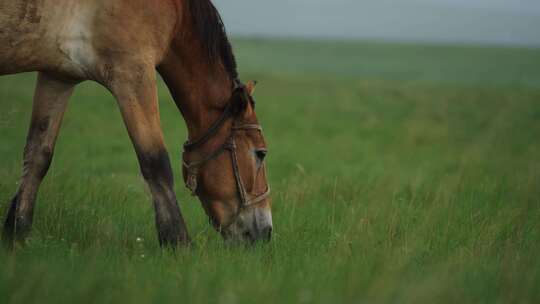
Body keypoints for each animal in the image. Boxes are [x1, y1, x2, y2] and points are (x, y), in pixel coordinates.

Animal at [0, 0, 272, 247]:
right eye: (260, 153)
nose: (267, 232)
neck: (175, 10)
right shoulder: (132, 72)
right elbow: (155, 161)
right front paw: (178, 242)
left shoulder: (59, 76)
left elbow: (37, 156)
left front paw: (17, 233)